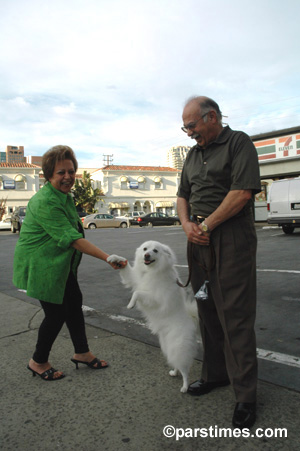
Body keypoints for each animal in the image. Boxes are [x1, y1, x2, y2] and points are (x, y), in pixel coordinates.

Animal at [108, 242, 199, 394]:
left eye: (155, 251)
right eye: (145, 249)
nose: (146, 255)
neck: (151, 271)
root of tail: (191, 319)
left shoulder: (156, 299)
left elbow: (138, 293)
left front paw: (131, 304)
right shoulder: (135, 279)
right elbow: (127, 270)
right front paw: (114, 258)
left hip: (178, 347)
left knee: (185, 369)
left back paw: (185, 387)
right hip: (168, 347)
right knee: (176, 363)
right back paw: (174, 372)